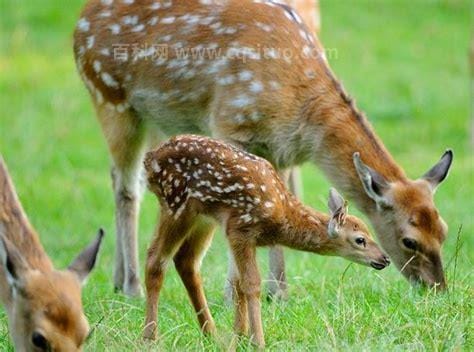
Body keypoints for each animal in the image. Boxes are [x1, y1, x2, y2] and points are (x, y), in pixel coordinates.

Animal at [73, 0, 452, 296]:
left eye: (443, 230)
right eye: (409, 240)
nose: (437, 289)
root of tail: (80, 21)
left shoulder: (280, 150)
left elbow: (282, 202)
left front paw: (279, 292)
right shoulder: (228, 124)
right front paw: (234, 294)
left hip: (155, 118)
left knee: (127, 177)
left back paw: (118, 280)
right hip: (109, 96)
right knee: (126, 187)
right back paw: (132, 286)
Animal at [143, 136, 390, 348]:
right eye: (360, 240)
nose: (384, 258)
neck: (280, 214)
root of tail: (150, 158)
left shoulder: (238, 235)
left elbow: (238, 284)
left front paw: (240, 337)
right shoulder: (241, 228)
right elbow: (251, 284)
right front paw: (258, 341)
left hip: (203, 217)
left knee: (186, 261)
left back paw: (211, 335)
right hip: (176, 204)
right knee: (155, 259)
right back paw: (150, 337)